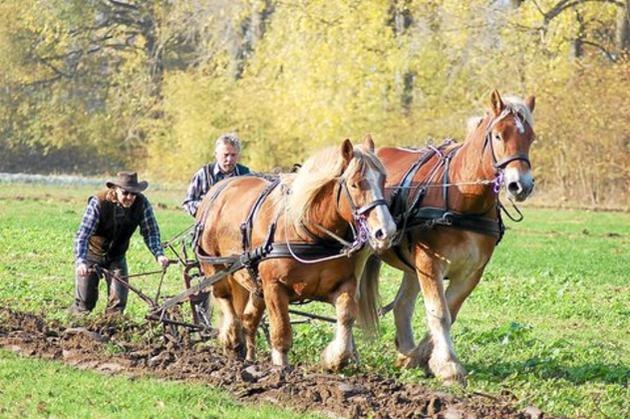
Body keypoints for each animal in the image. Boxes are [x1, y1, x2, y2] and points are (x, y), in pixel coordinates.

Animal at [195, 137, 398, 370]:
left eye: (383, 180)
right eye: (355, 183)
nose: (386, 231)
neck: (309, 232)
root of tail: (220, 188)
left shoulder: (343, 284)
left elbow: (346, 317)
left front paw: (334, 359)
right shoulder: (274, 286)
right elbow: (281, 330)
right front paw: (281, 368)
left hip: (253, 283)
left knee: (248, 319)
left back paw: (250, 358)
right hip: (215, 268)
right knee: (226, 302)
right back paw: (232, 339)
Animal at [366, 90, 540, 386]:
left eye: (530, 137)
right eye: (498, 135)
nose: (521, 186)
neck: (464, 197)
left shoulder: (471, 271)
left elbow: (451, 310)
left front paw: (418, 358)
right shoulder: (429, 262)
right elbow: (439, 312)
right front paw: (447, 364)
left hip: (412, 265)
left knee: (402, 306)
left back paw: (406, 350)